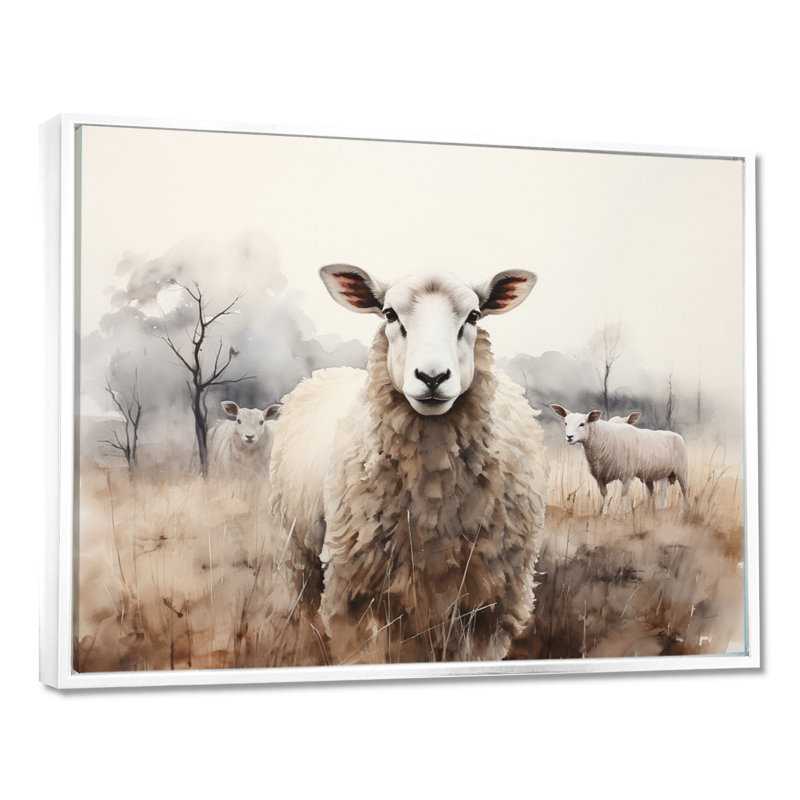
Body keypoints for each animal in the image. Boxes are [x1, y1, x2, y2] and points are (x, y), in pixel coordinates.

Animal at [269, 264, 548, 665]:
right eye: (389, 314)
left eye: (473, 315)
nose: (432, 377)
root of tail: (321, 373)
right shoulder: (350, 591)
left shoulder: (493, 604)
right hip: (298, 552)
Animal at [549, 404, 689, 515]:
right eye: (566, 423)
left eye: (582, 424)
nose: (569, 437)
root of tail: (675, 434)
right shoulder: (599, 477)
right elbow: (605, 495)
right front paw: (605, 514)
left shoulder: (627, 475)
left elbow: (623, 494)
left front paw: (624, 514)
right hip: (655, 474)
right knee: (653, 492)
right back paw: (650, 512)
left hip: (681, 470)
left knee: (683, 490)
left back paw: (686, 511)